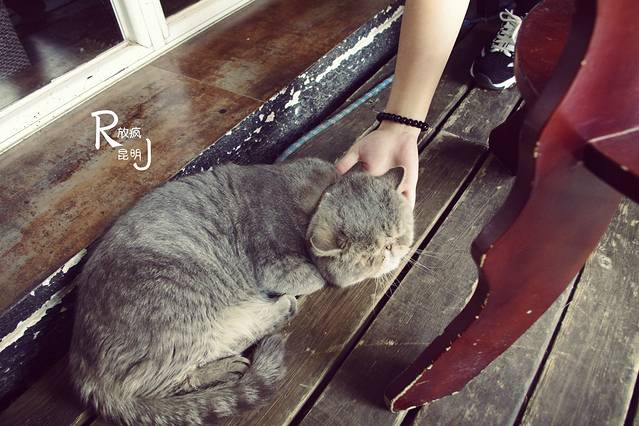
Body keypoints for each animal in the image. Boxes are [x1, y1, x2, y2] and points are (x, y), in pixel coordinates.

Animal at [69, 157, 414, 425]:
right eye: (376, 252)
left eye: (401, 234)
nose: (397, 249)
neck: (312, 197)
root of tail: (85, 373)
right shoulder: (278, 267)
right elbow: (316, 278)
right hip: (183, 308)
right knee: (172, 381)